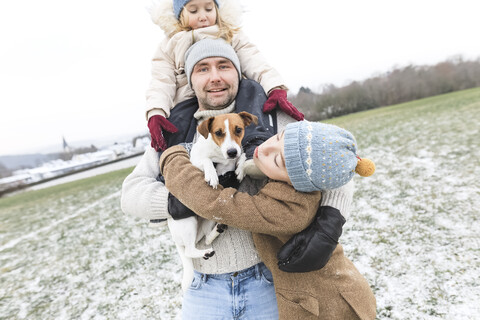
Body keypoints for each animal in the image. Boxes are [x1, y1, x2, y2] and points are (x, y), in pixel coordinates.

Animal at [169, 111, 258, 292]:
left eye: (238, 129)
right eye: (218, 132)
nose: (231, 152)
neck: (220, 155)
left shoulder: (237, 154)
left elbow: (243, 155)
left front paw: (240, 168)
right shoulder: (195, 162)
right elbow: (206, 160)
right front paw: (211, 174)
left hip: (209, 217)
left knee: (205, 239)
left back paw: (216, 232)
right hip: (188, 222)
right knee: (189, 250)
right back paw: (205, 252)